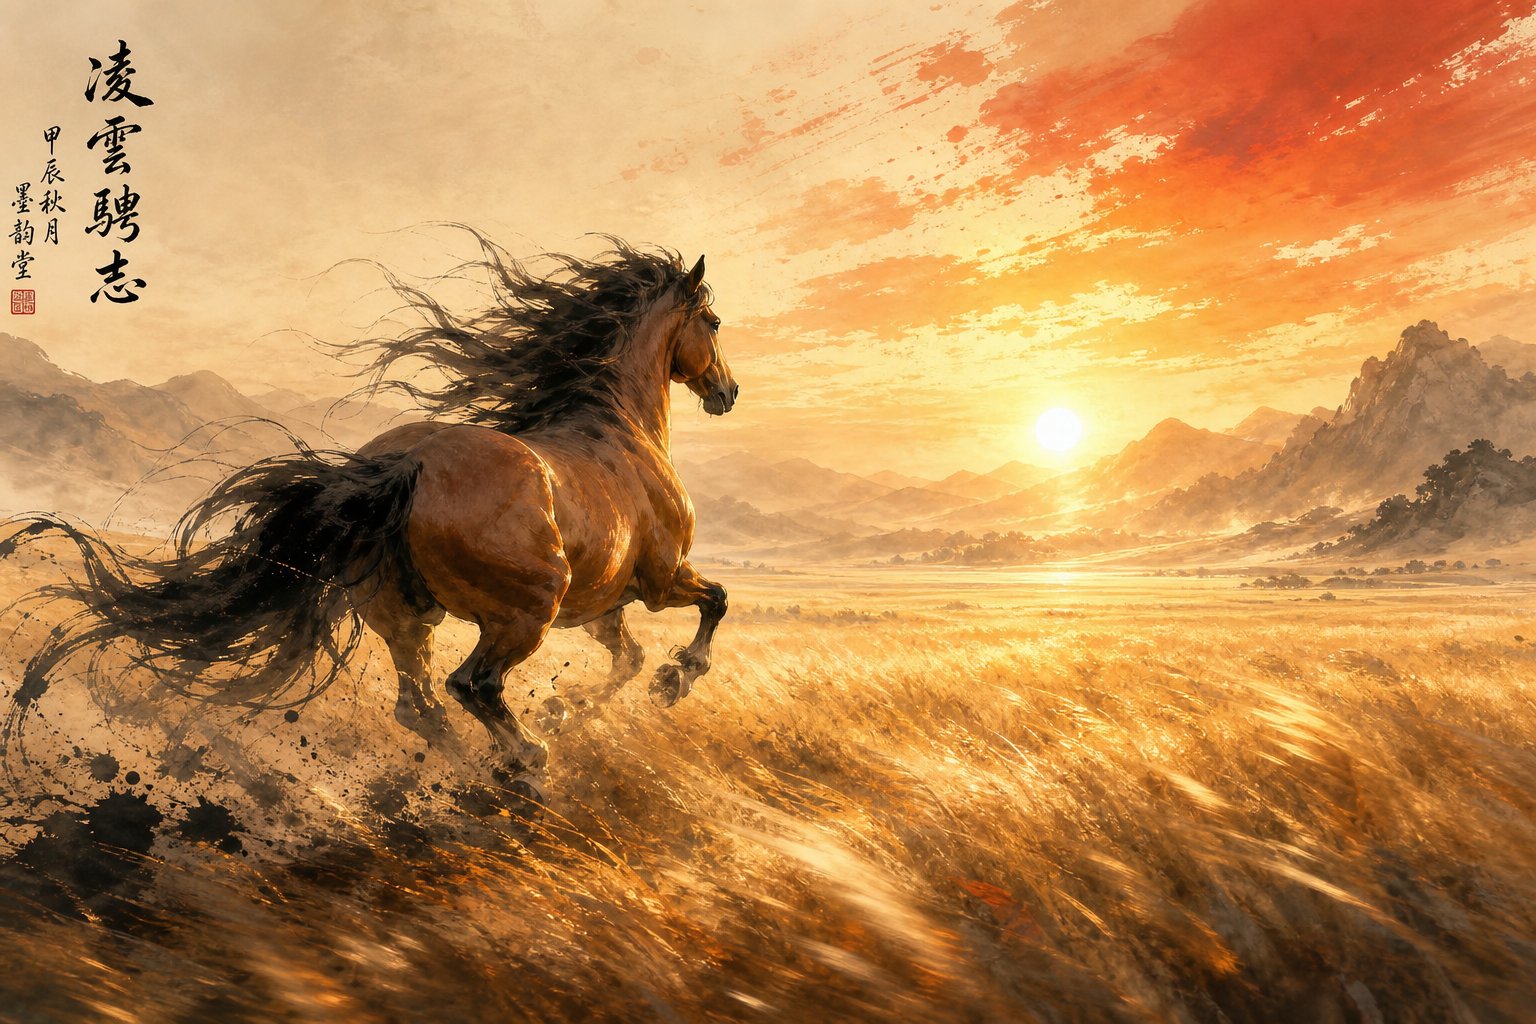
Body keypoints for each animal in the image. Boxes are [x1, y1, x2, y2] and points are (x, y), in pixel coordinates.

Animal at [0, 235, 738, 786]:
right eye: (713, 322)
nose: (727, 392)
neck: (618, 429)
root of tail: (407, 464)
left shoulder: (602, 607)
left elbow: (626, 660)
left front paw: (574, 704)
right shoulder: (660, 579)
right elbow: (715, 602)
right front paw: (678, 678)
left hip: (407, 616)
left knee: (420, 706)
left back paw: (476, 771)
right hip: (526, 609)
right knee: (470, 685)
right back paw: (525, 762)